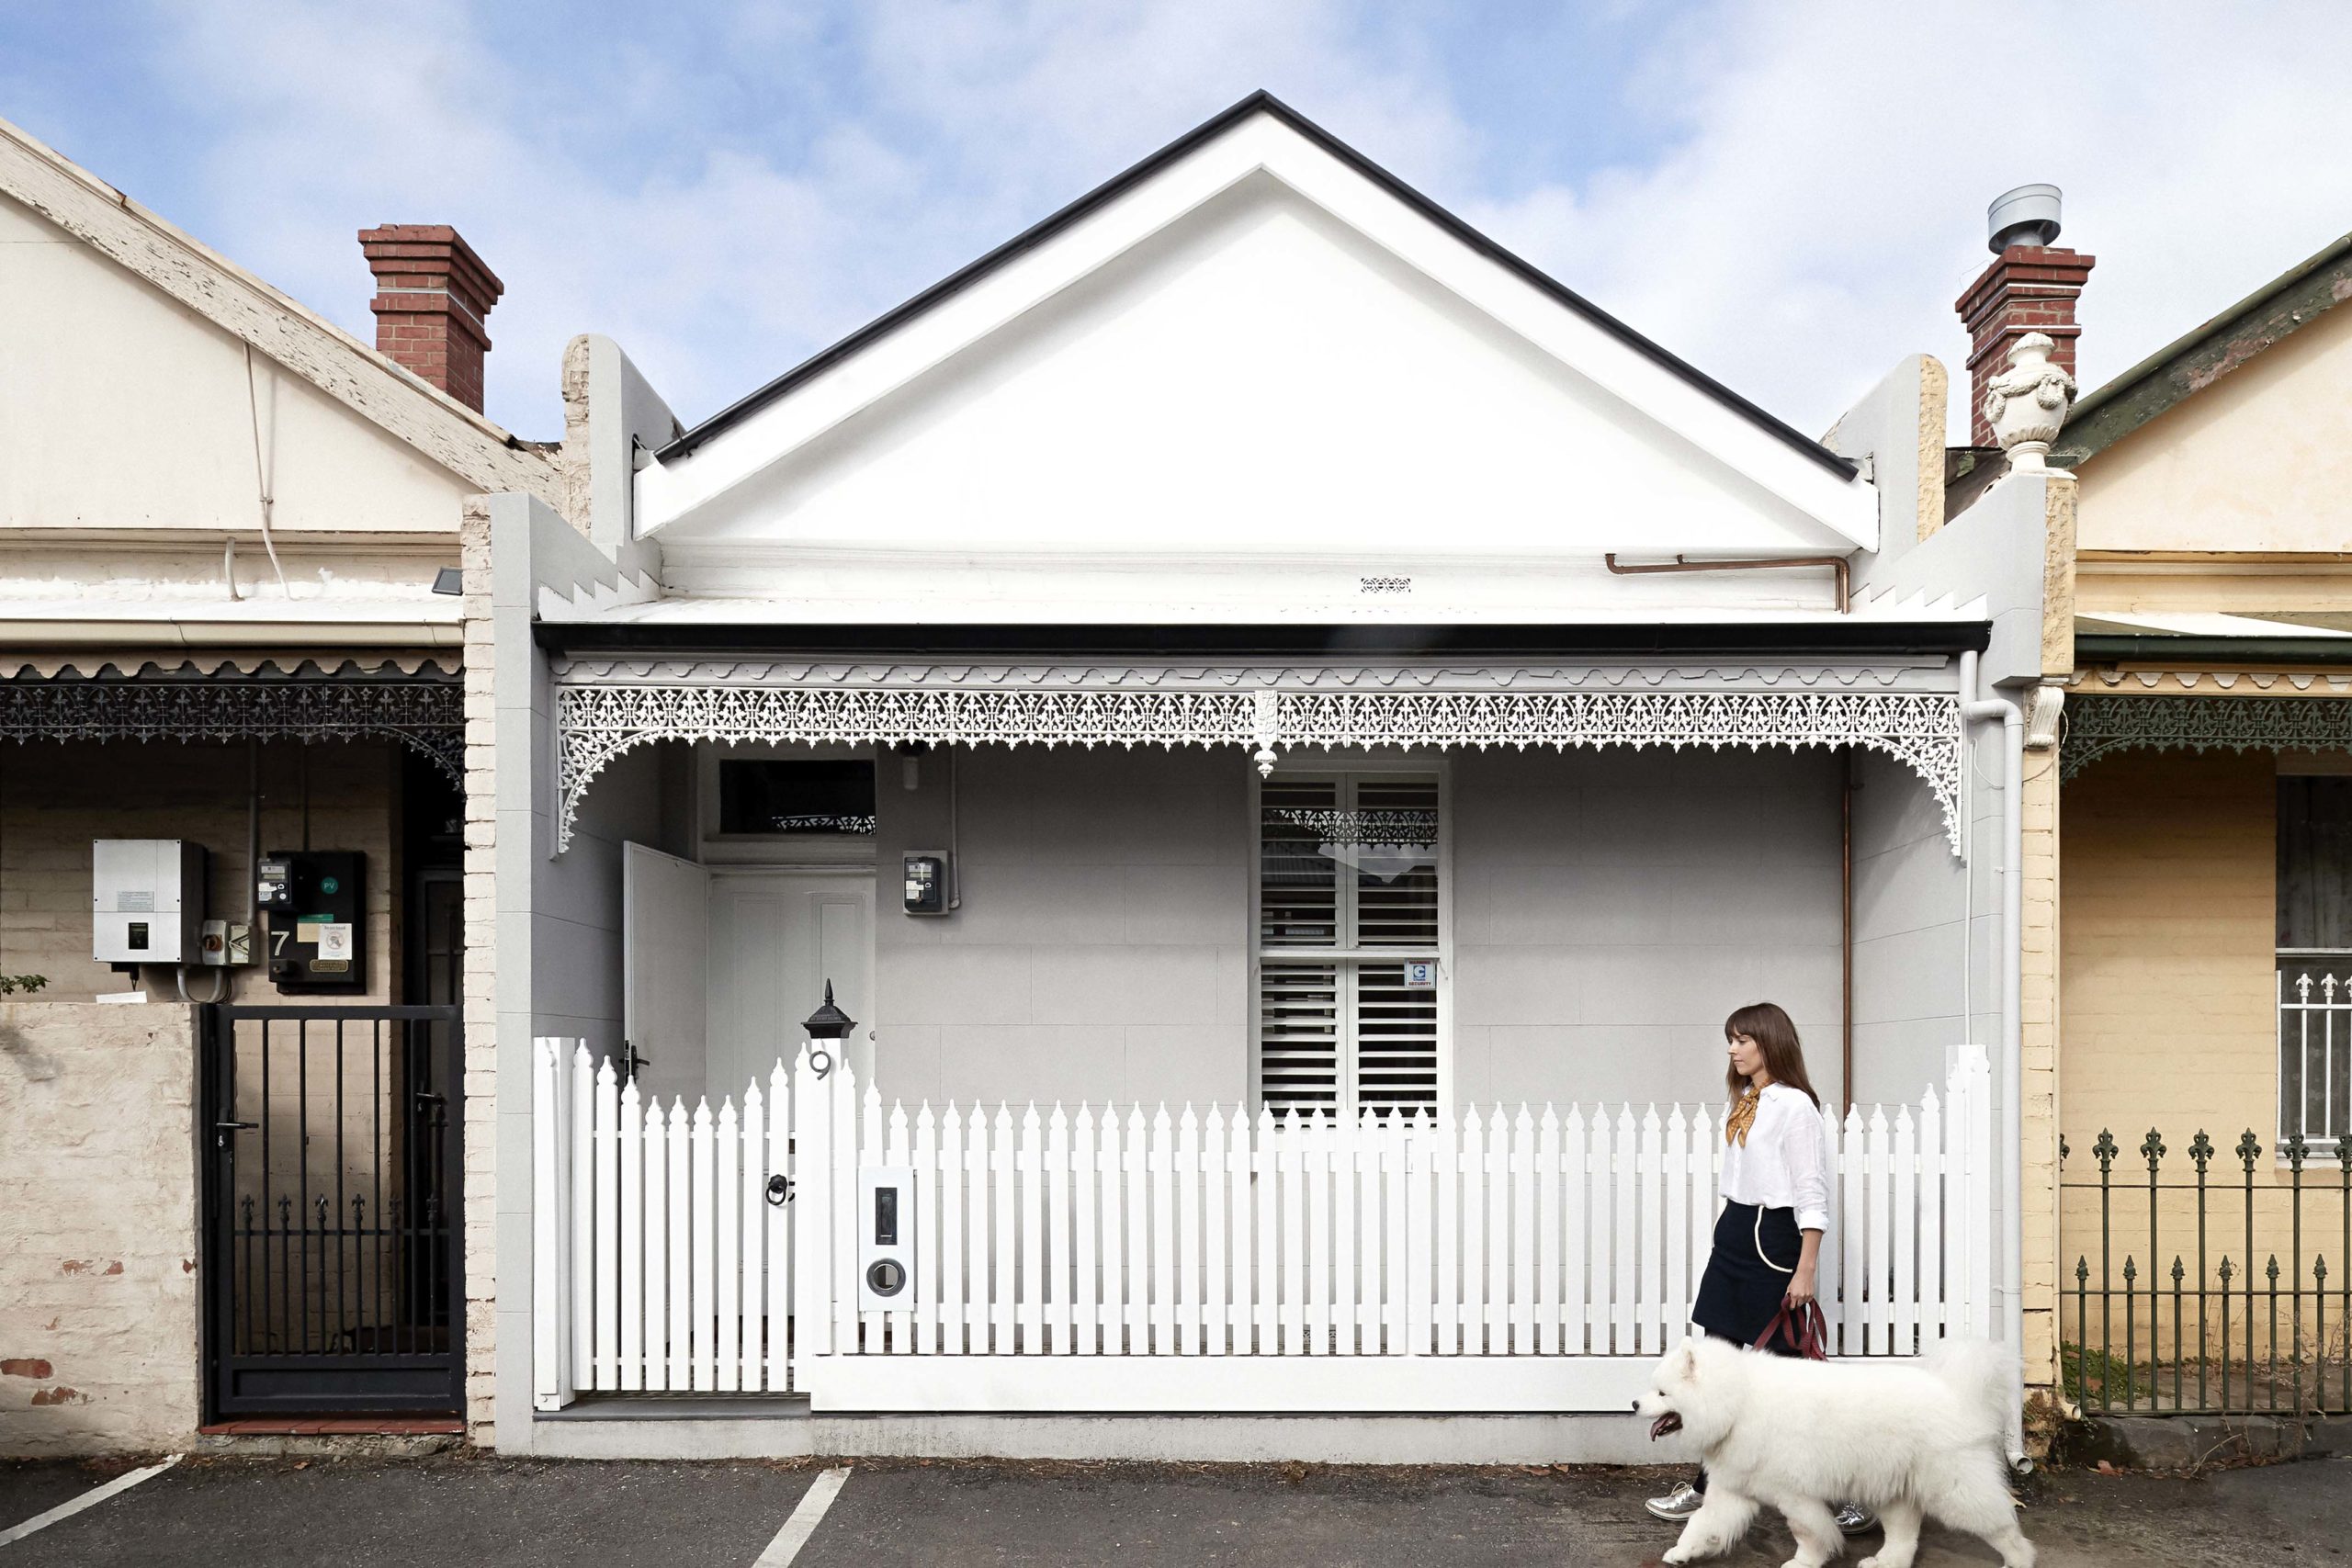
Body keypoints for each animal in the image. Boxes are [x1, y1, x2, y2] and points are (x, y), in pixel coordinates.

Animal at [1636, 1335, 2041, 1568]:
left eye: (1662, 1393)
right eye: (1652, 1388)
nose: (1634, 1403)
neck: (1737, 1403)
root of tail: (1955, 1392)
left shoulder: (1795, 1495)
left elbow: (1809, 1533)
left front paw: (1803, 1563)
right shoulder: (1734, 1490)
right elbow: (1703, 1524)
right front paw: (1682, 1553)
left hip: (1954, 1490)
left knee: (2002, 1527)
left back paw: (2019, 1559)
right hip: (1891, 1488)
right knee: (1904, 1535)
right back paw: (1885, 1562)